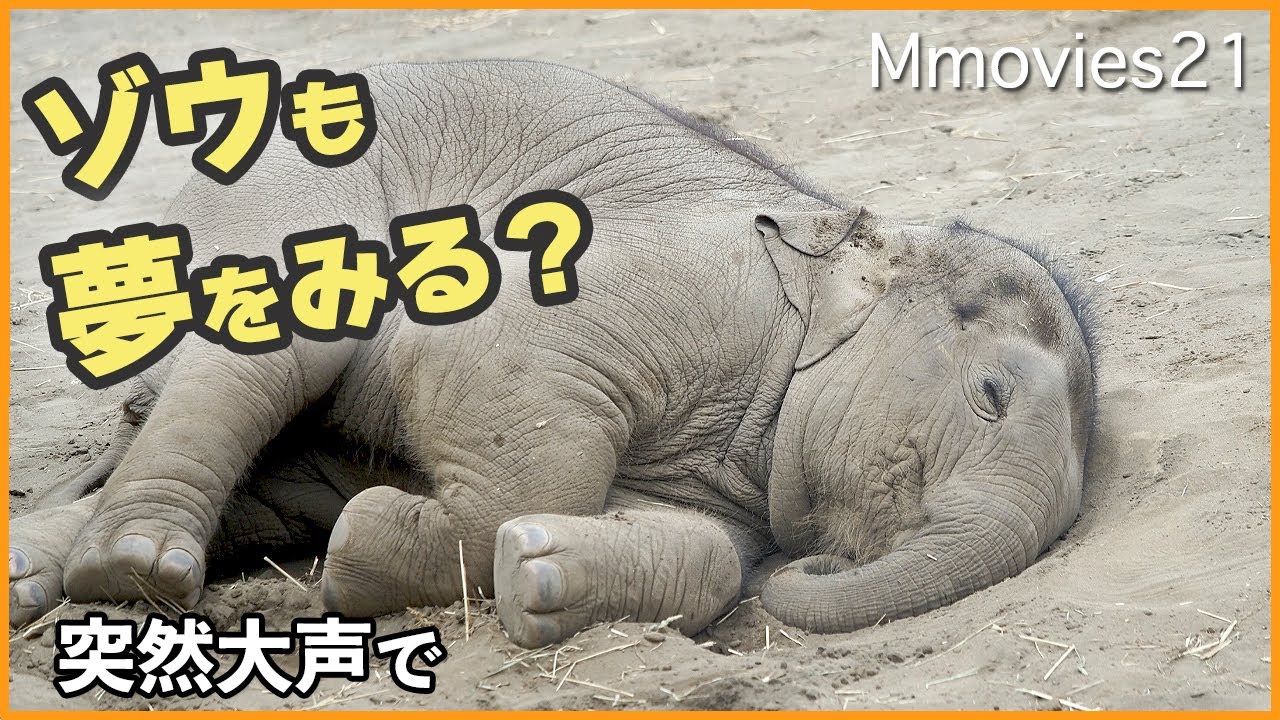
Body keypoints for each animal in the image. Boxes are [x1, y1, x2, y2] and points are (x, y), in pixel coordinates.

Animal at [9, 59, 1096, 649]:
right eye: (990, 393)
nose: (821, 560)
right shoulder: (671, 286)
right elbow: (508, 392)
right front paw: (390, 544)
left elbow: (708, 553)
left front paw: (533, 571)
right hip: (282, 209)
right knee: (256, 367)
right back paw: (136, 568)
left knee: (276, 476)